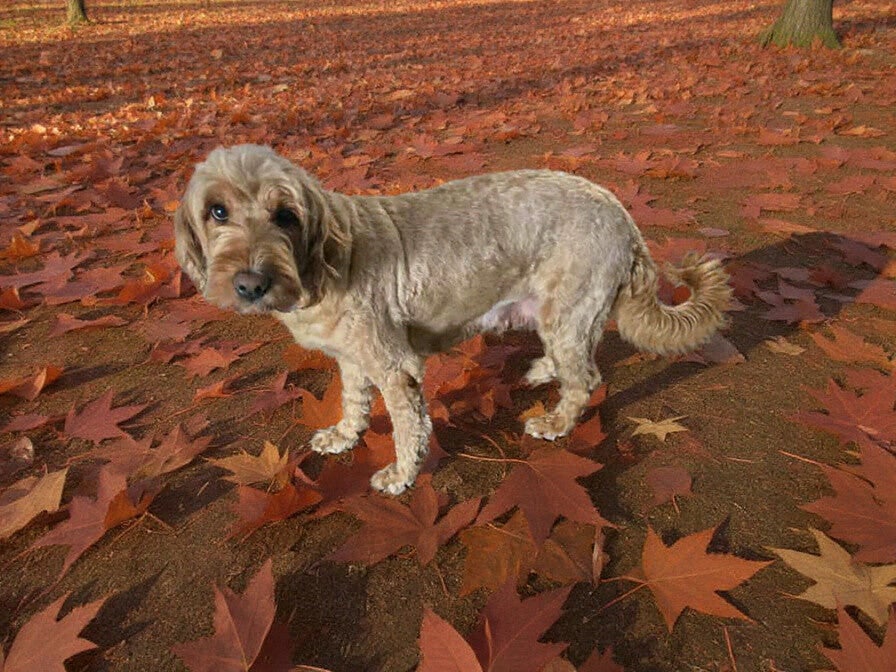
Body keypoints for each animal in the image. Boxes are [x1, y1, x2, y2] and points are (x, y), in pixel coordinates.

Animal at [174, 144, 731, 494]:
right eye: (217, 211)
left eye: (285, 215)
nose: (250, 284)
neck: (330, 260)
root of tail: (623, 216)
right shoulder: (352, 360)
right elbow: (353, 402)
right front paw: (344, 436)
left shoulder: (395, 367)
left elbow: (407, 428)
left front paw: (400, 476)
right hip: (561, 315)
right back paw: (543, 370)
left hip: (569, 311)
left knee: (585, 378)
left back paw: (555, 421)